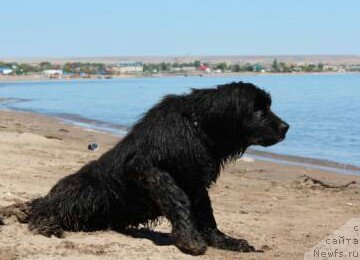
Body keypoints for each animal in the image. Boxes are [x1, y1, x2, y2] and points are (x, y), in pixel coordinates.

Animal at [0, 82, 286, 255]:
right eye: (258, 110)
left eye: (267, 106)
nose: (286, 127)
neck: (196, 126)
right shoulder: (149, 170)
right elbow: (178, 200)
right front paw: (189, 240)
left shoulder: (195, 181)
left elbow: (207, 214)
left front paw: (224, 241)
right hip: (84, 194)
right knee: (47, 210)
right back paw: (44, 224)